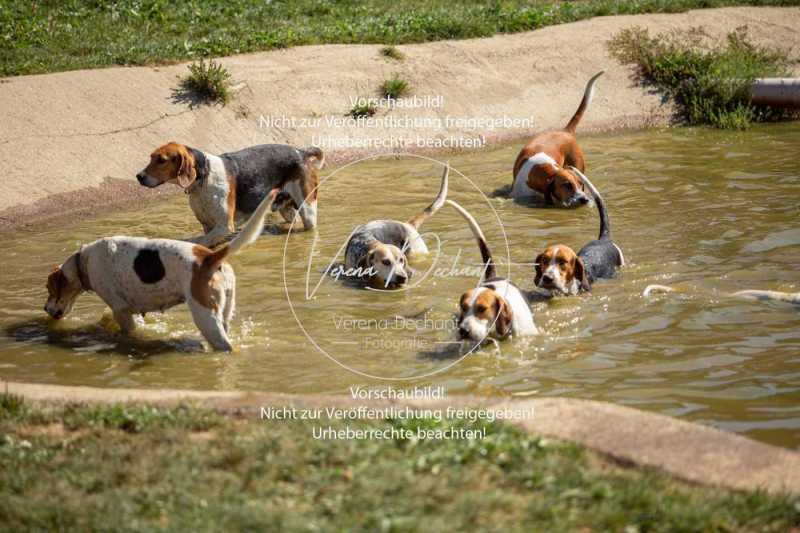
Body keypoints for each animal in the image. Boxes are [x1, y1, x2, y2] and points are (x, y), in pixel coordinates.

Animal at [45, 189, 282, 352]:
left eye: (49, 289)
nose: (45, 309)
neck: (83, 261)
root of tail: (209, 258)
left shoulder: (121, 311)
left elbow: (127, 332)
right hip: (224, 313)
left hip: (204, 316)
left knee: (226, 346)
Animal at [138, 143, 322, 247]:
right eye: (151, 157)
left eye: (161, 160)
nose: (138, 176)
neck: (203, 179)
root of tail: (301, 152)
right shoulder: (208, 225)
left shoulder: (224, 226)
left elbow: (200, 241)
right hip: (287, 210)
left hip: (308, 210)